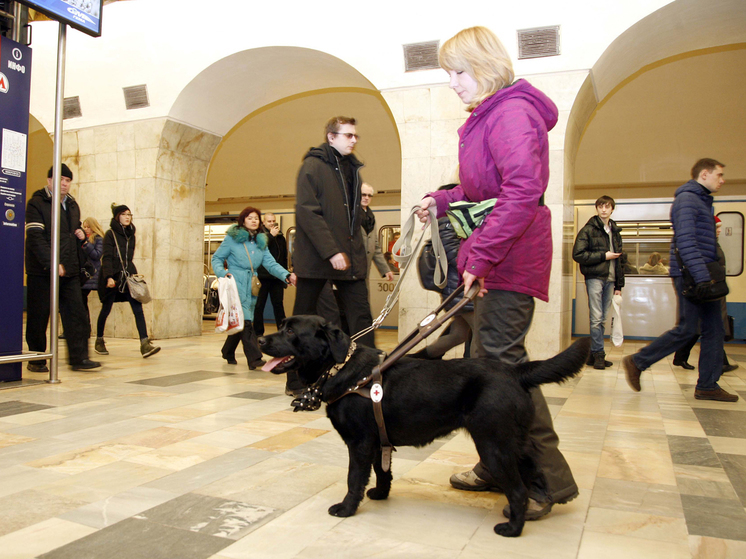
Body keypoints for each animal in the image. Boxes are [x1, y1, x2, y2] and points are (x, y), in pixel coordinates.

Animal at [258, 316, 588, 540]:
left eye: (291, 331)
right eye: (282, 325)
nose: (260, 339)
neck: (342, 369)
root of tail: (514, 371)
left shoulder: (360, 443)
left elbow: (354, 480)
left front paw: (347, 508)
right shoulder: (378, 442)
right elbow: (382, 472)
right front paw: (380, 494)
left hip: (494, 446)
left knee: (517, 490)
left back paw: (512, 529)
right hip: (514, 444)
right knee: (532, 472)